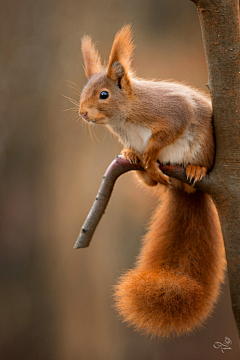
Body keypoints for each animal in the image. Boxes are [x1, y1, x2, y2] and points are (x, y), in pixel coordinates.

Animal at [79, 26, 226, 338]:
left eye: (104, 94)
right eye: (84, 92)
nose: (82, 113)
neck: (125, 119)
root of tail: (187, 190)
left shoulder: (172, 112)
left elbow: (165, 133)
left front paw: (149, 153)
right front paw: (135, 154)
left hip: (204, 146)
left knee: (195, 161)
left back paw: (193, 168)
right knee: (149, 183)